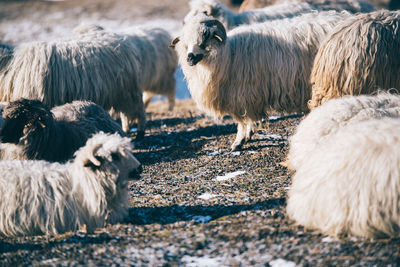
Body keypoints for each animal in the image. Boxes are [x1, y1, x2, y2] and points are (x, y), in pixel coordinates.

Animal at [0, 30, 145, 138]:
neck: (9, 63)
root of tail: (123, 40)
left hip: (127, 90)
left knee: (138, 109)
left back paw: (139, 131)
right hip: (121, 92)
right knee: (127, 112)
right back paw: (127, 129)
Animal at [173, 11, 352, 151]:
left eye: (204, 40)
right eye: (185, 43)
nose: (189, 58)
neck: (228, 55)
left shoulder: (242, 96)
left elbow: (242, 121)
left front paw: (239, 141)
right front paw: (245, 137)